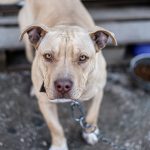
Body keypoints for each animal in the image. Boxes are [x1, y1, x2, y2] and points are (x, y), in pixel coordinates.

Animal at [19, 0, 117, 149]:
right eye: (48, 56)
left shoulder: (98, 92)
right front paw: (59, 145)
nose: (63, 85)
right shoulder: (45, 103)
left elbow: (92, 114)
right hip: (29, 51)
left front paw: (89, 132)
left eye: (83, 58)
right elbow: (55, 127)